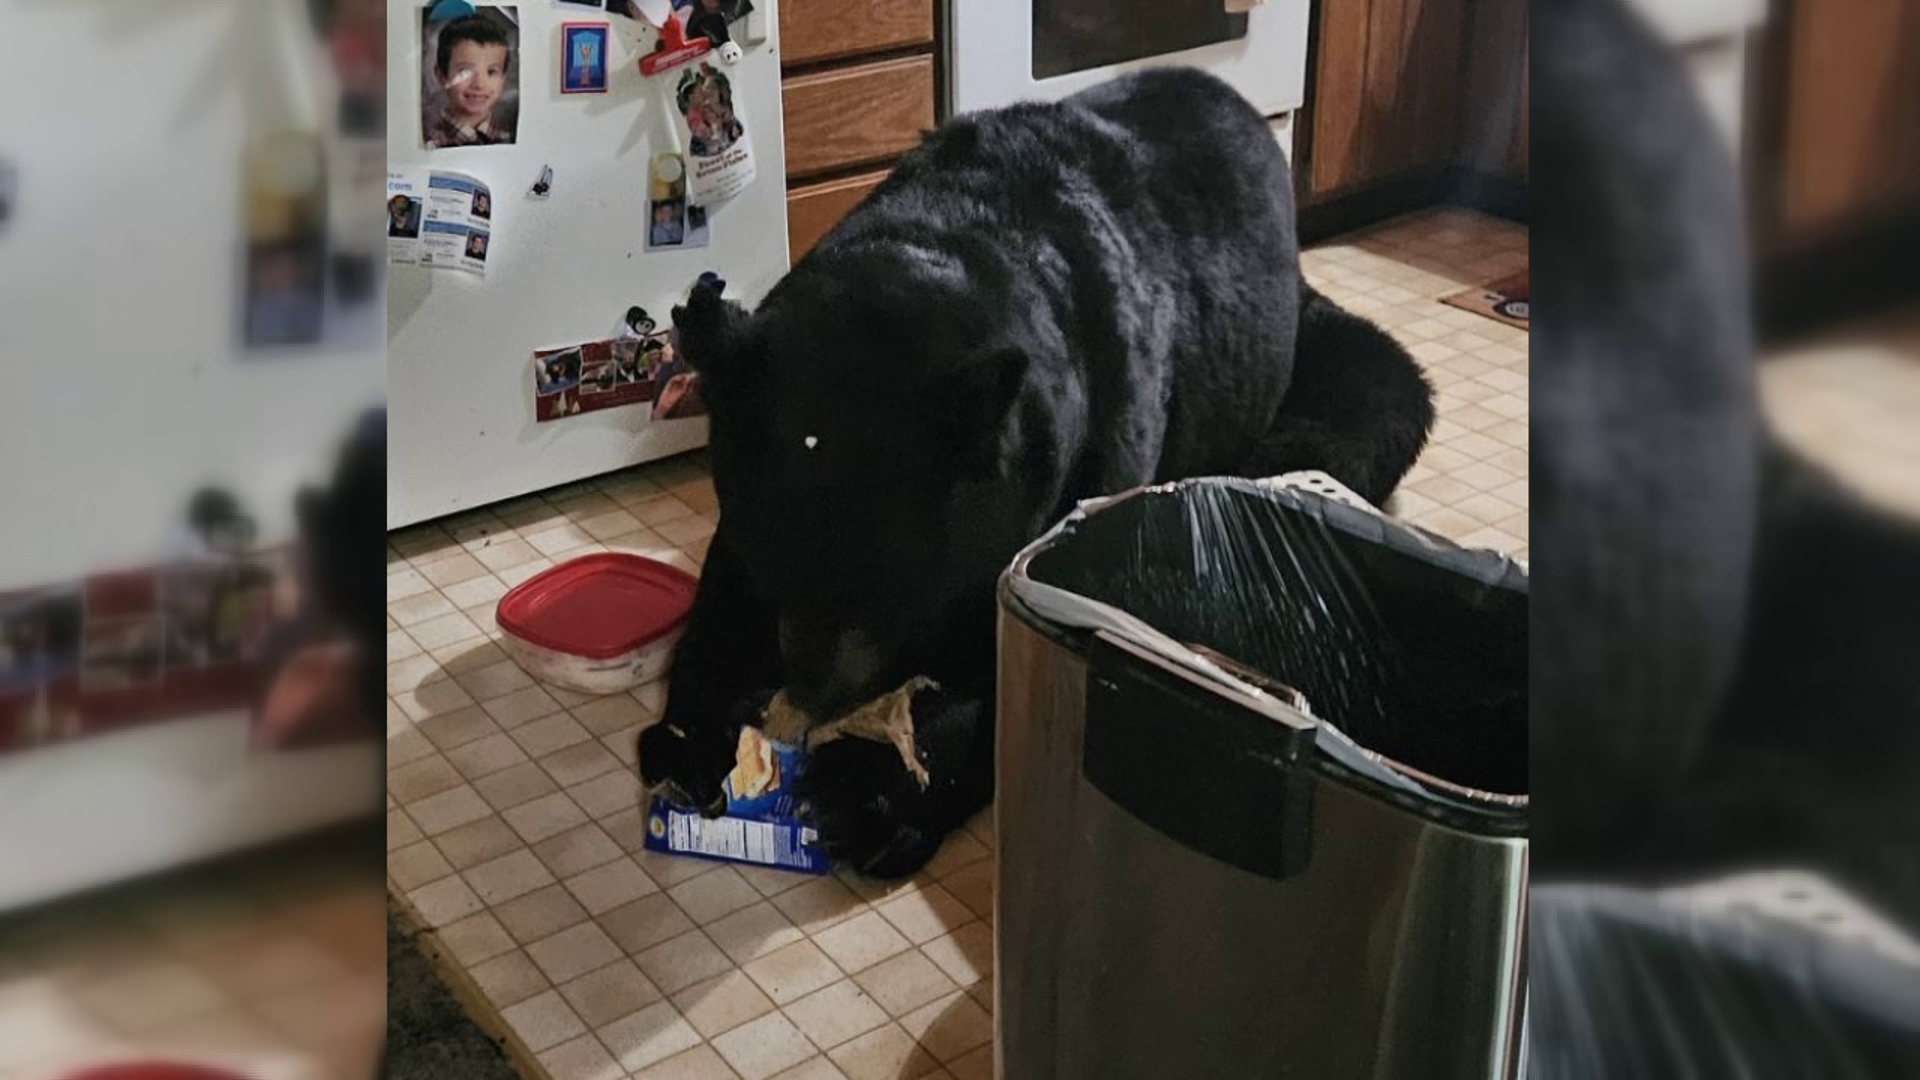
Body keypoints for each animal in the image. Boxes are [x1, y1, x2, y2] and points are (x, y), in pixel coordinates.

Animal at [645, 67, 1443, 876]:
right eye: (776, 556)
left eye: (893, 580)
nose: (810, 691)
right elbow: (724, 590)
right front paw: (691, 732)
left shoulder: (1079, 478)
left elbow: (1015, 652)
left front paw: (875, 795)